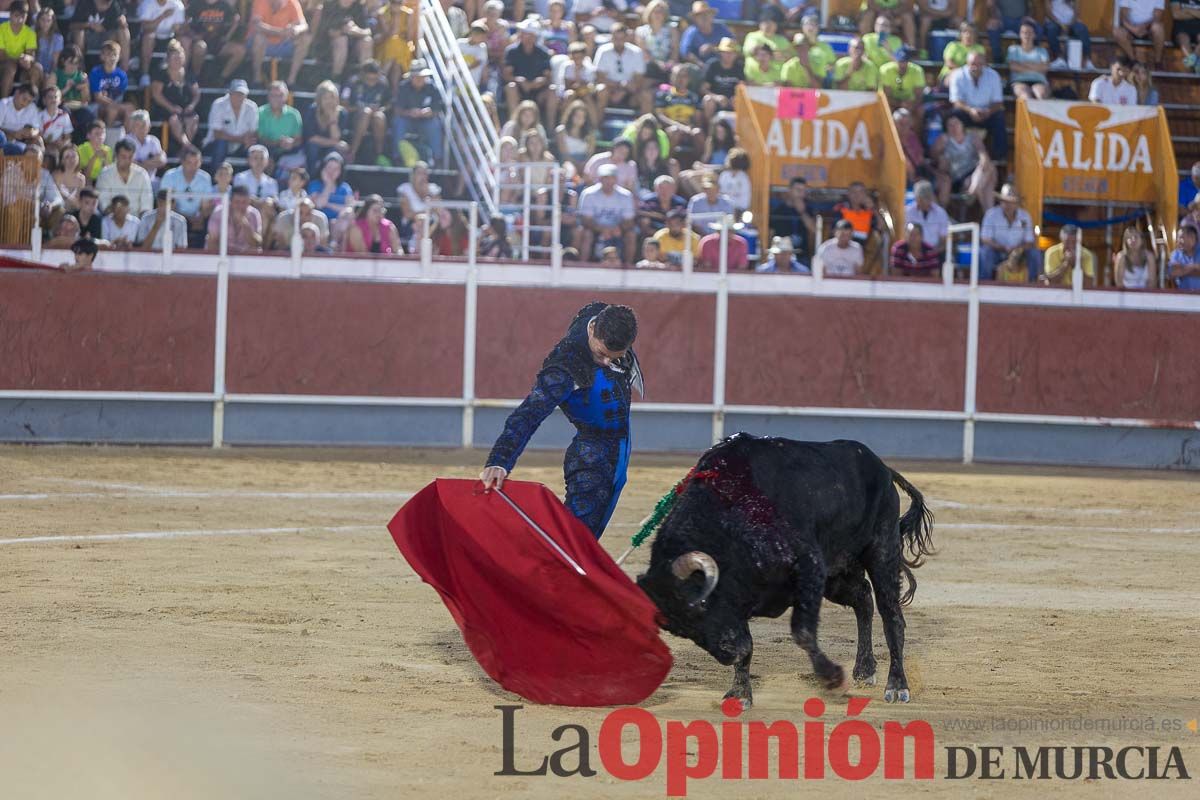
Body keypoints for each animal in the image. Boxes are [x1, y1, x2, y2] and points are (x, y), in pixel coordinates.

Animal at [633, 438, 931, 705]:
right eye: (681, 631)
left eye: (702, 606)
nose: (729, 654)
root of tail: (882, 467)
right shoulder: (742, 598)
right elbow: (750, 643)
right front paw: (740, 694)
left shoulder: (809, 567)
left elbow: (803, 632)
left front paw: (832, 678)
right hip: (836, 575)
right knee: (863, 599)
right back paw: (864, 669)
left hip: (881, 551)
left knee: (892, 616)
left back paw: (896, 686)